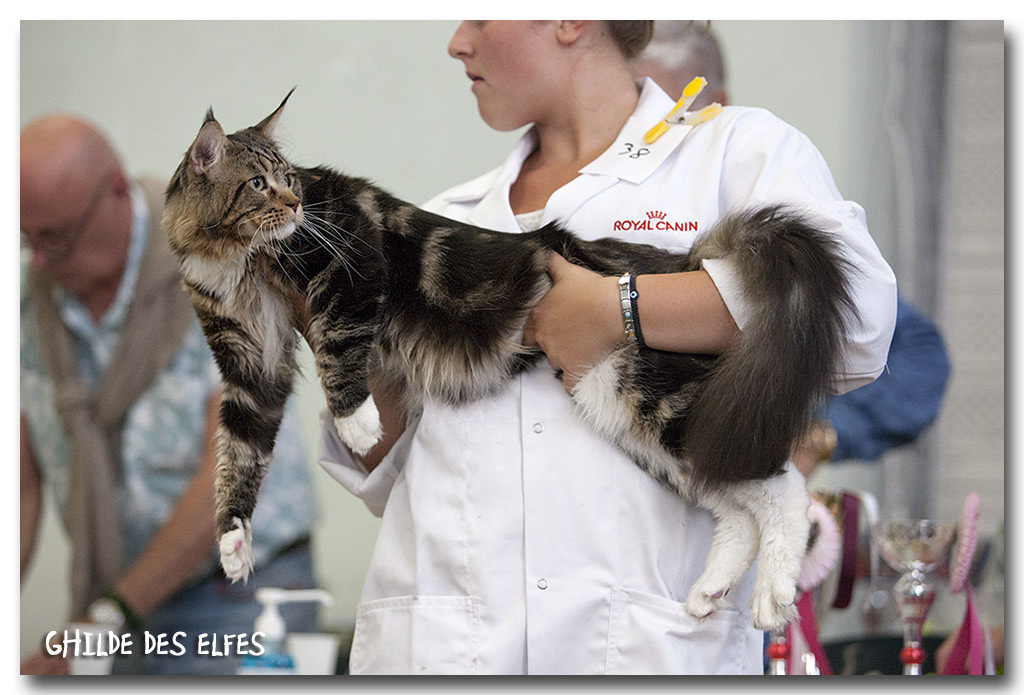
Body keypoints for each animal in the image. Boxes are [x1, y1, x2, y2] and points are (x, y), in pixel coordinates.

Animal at [161, 92, 856, 630]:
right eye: (259, 183)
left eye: (291, 179)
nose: (297, 206)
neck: (231, 259)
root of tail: (686, 261)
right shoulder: (250, 366)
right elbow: (239, 453)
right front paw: (231, 542)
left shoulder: (352, 263)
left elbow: (337, 340)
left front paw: (355, 421)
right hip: (635, 416)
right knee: (737, 507)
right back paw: (712, 589)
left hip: (662, 402)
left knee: (785, 490)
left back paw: (772, 596)